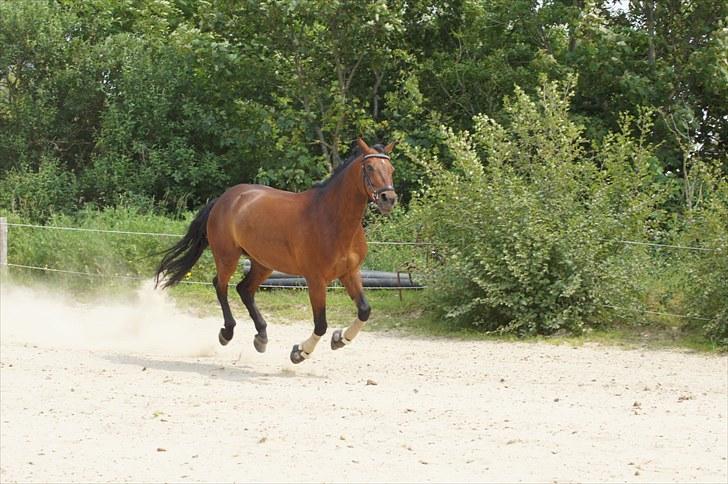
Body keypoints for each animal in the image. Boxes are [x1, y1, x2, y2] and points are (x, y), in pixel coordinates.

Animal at [153, 137, 398, 364]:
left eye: (391, 169)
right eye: (369, 167)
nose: (389, 199)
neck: (331, 219)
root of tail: (224, 199)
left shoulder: (350, 272)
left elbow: (364, 310)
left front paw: (339, 339)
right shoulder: (316, 279)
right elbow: (320, 324)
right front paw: (300, 352)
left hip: (263, 263)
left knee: (244, 289)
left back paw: (261, 337)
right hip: (227, 257)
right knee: (220, 286)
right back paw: (227, 333)